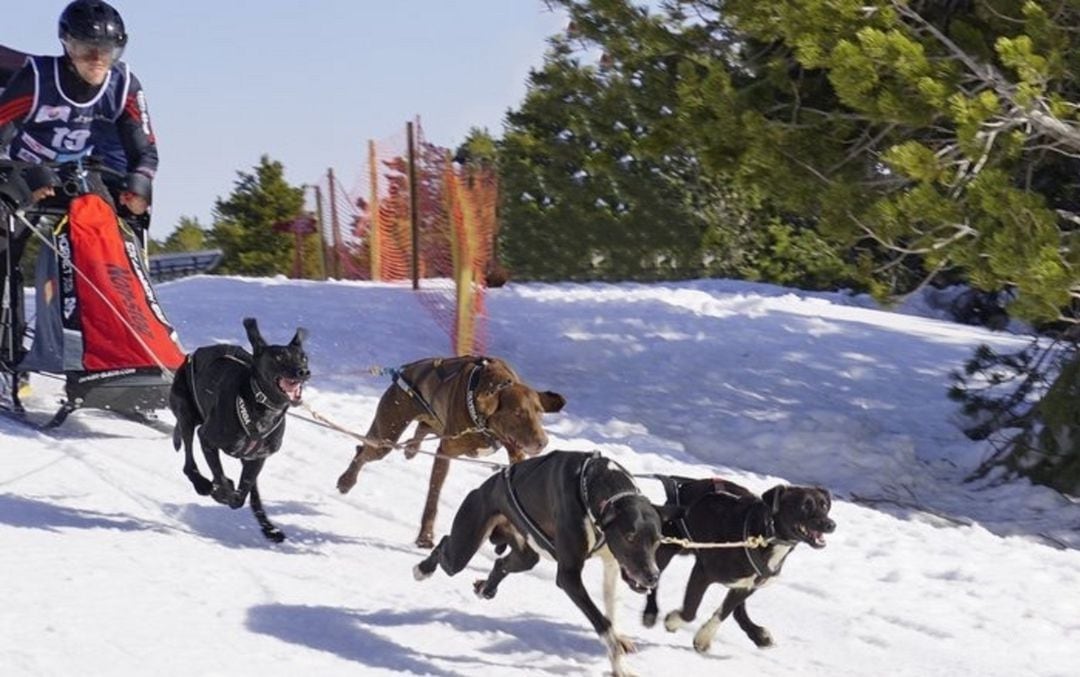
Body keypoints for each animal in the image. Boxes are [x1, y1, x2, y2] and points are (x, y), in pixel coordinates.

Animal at [168, 317, 311, 546]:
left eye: (304, 357)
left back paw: (269, 529)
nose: (303, 371)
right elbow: (221, 478)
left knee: (252, 495)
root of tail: (193, 355)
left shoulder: (257, 458)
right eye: (279, 356)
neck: (259, 404)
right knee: (189, 463)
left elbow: (243, 495)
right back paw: (202, 484)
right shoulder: (207, 439)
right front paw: (220, 491)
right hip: (186, 414)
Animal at [334, 358, 565, 548]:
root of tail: (403, 370)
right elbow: (433, 498)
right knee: (363, 451)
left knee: (422, 427)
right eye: (518, 413)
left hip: (430, 423)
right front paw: (425, 537)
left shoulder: (514, 453)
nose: (543, 442)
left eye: (539, 413)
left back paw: (411, 448)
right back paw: (347, 480)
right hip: (386, 438)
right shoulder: (445, 453)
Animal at [412, 451, 673, 677]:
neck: (594, 485)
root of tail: (485, 486)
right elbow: (602, 623)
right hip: (464, 545)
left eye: (657, 540)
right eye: (630, 537)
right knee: (445, 546)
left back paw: (486, 587)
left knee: (501, 563)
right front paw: (619, 662)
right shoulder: (568, 577)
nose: (653, 576)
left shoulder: (611, 564)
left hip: (526, 555)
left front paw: (619, 652)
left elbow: (610, 610)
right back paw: (423, 569)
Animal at [639, 475, 833, 652]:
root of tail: (683, 487)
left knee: (738, 610)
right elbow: (690, 611)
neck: (765, 535)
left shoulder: (747, 586)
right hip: (667, 548)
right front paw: (673, 621)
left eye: (824, 505)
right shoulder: (703, 573)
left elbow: (724, 612)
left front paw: (704, 637)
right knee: (653, 579)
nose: (831, 524)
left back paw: (758, 635)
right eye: (805, 505)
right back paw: (651, 612)